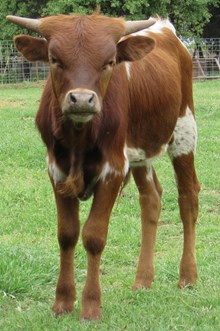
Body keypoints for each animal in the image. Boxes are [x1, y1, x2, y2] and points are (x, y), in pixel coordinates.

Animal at [6, 13, 199, 322]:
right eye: (54, 59)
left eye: (109, 61)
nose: (82, 99)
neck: (79, 137)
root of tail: (164, 27)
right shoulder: (56, 170)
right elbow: (67, 234)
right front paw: (62, 302)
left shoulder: (113, 169)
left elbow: (94, 236)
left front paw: (90, 306)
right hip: (140, 151)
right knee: (151, 199)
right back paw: (143, 280)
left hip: (184, 131)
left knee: (188, 197)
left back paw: (188, 276)